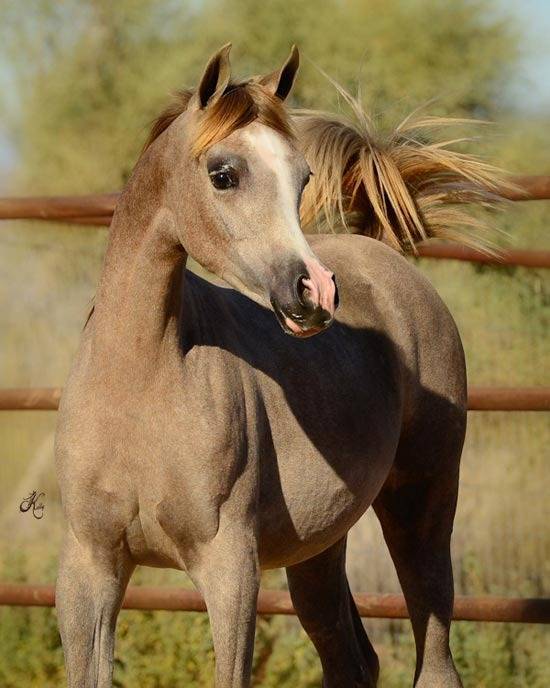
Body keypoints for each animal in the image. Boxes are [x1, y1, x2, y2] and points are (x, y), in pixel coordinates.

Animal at [55, 44, 504, 688]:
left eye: (303, 177)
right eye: (223, 173)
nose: (313, 291)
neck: (137, 386)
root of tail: (387, 257)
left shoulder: (230, 569)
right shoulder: (90, 568)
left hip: (423, 507)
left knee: (436, 659)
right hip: (320, 545)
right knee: (352, 659)